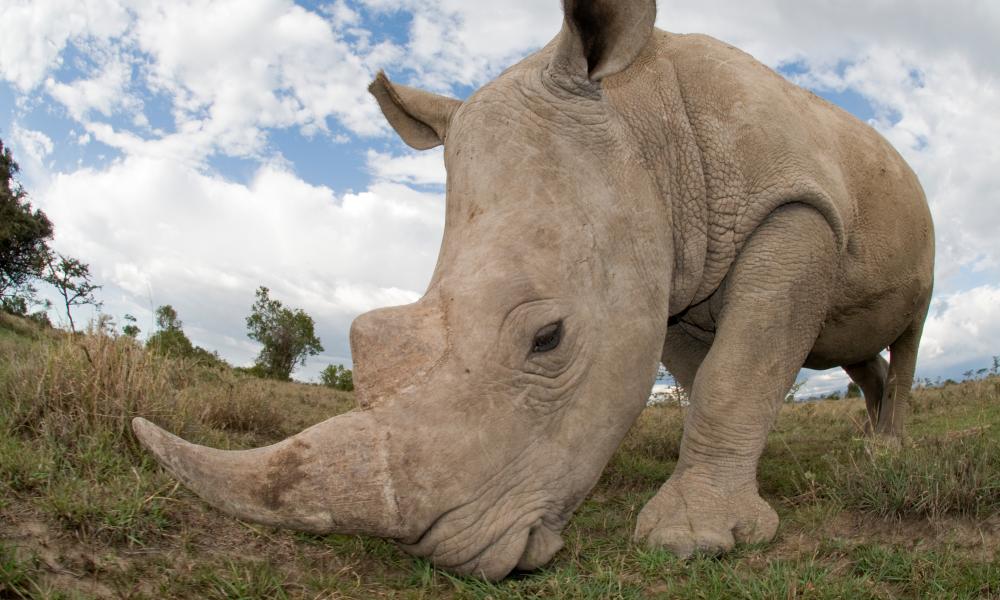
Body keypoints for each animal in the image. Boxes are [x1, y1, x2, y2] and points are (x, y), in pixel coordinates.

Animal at [131, 0, 928, 580]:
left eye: (548, 338)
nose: (442, 549)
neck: (645, 125)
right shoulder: (671, 278)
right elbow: (716, 376)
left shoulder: (793, 209)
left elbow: (737, 374)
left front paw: (690, 541)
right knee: (855, 351)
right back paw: (870, 438)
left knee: (910, 329)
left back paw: (888, 455)